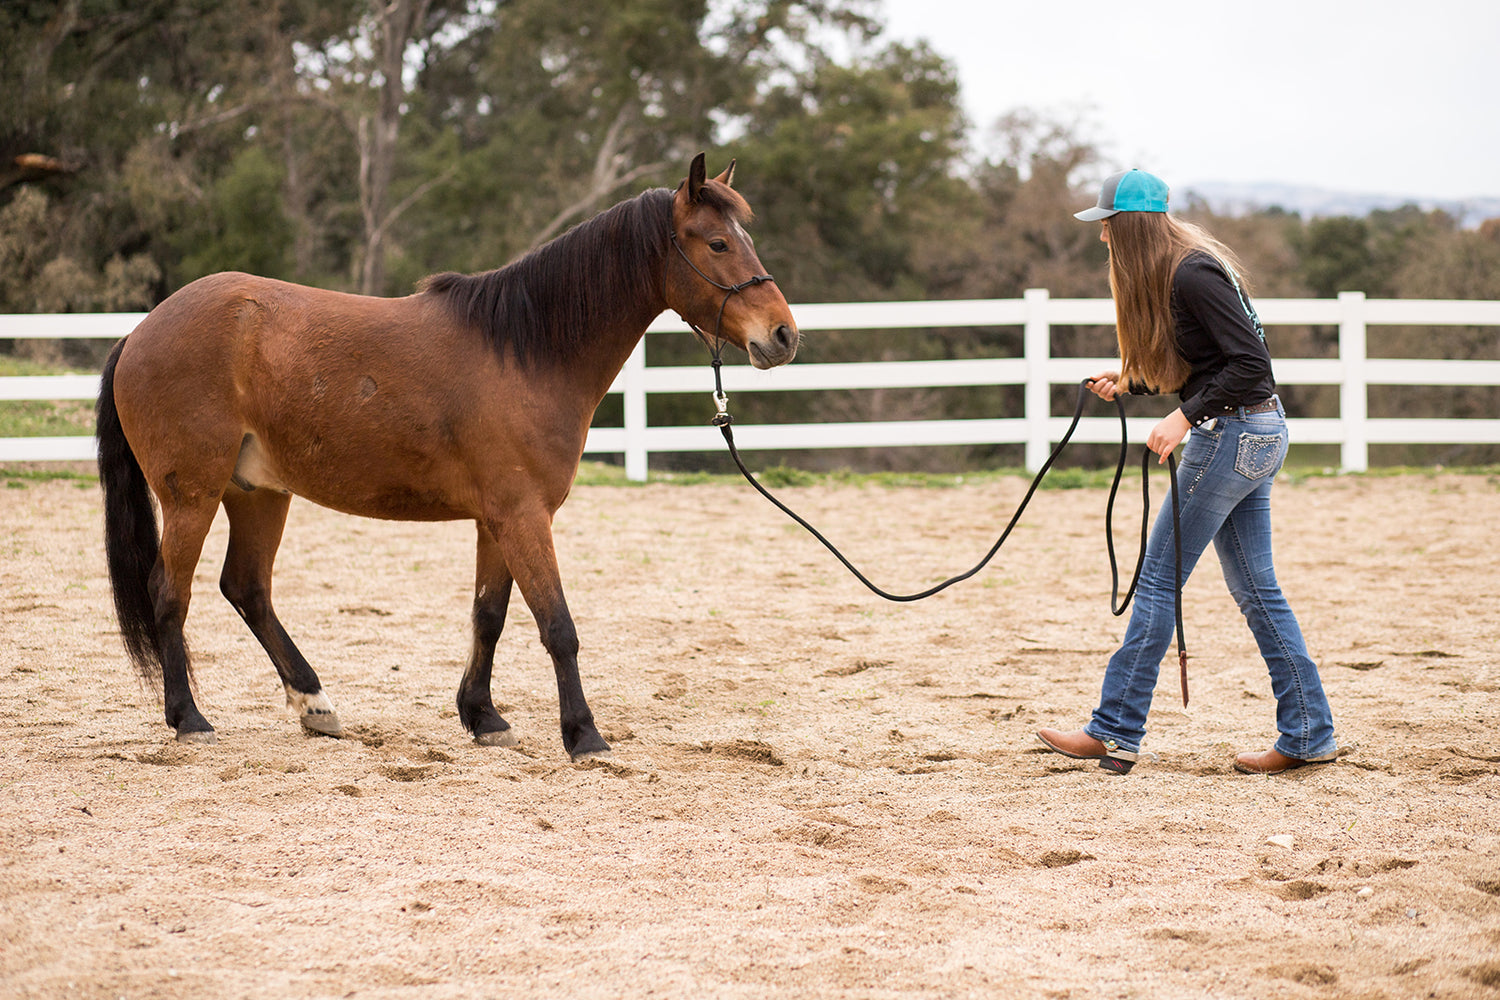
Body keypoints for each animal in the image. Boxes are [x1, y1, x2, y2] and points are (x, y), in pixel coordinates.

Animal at [96, 152, 798, 758]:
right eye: (717, 243)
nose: (784, 335)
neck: (527, 351)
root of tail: (140, 330)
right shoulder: (523, 516)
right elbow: (557, 626)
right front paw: (583, 735)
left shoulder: (499, 519)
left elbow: (489, 616)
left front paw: (482, 716)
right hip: (193, 495)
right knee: (170, 593)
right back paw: (189, 719)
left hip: (258, 492)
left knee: (246, 588)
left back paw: (315, 705)